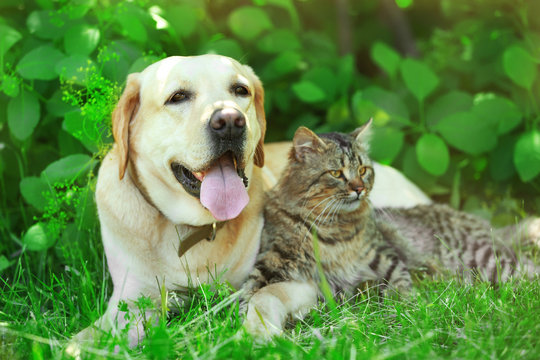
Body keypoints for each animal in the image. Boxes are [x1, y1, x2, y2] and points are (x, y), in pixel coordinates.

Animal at [240, 121, 414, 338]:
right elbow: (252, 291)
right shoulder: (273, 259)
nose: (359, 189)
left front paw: (403, 303)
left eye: (363, 170)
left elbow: (401, 277)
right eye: (336, 173)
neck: (336, 227)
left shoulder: (380, 252)